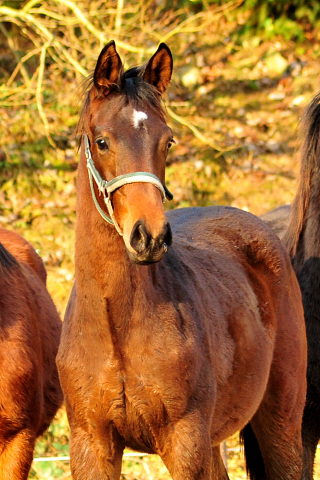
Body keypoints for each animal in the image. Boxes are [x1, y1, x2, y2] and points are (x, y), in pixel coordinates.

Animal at [57, 42, 308, 480]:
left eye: (168, 141)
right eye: (102, 141)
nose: (150, 237)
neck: (115, 323)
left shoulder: (184, 442)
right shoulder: (90, 445)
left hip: (281, 422)